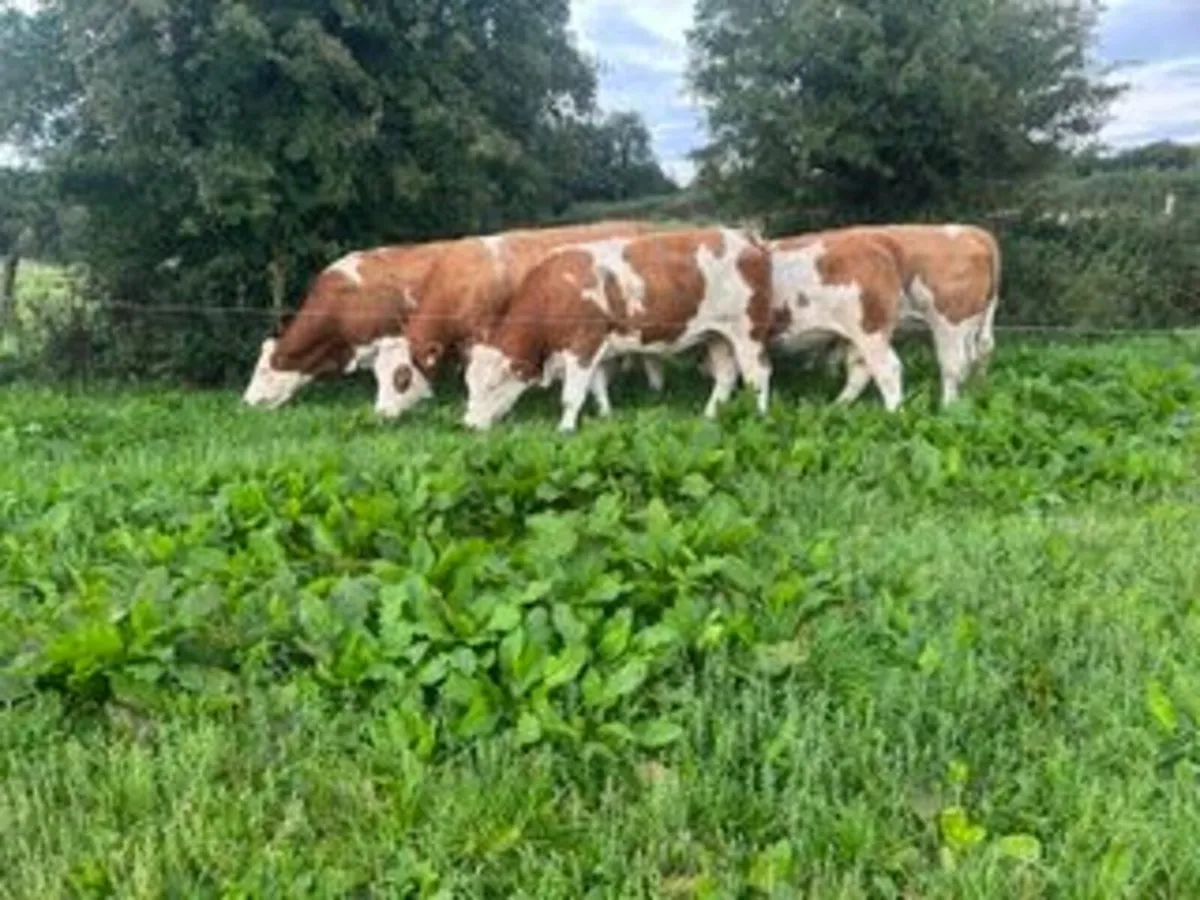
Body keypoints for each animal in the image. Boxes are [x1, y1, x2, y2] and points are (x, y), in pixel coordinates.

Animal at [460, 227, 776, 433]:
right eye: (469, 385)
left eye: (492, 385)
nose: (469, 425)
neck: (554, 290)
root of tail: (745, 237)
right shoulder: (597, 348)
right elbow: (597, 387)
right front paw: (605, 416)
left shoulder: (582, 346)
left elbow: (572, 395)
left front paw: (565, 430)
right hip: (718, 336)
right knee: (726, 375)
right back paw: (710, 416)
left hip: (748, 331)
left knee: (758, 374)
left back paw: (759, 416)